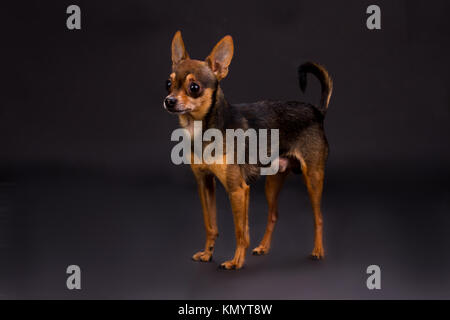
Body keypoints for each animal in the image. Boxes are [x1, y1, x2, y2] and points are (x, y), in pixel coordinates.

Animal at [163, 30, 332, 270]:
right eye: (168, 83)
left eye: (194, 88)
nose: (169, 101)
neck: (203, 129)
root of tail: (317, 111)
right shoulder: (205, 183)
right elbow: (211, 225)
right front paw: (207, 254)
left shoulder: (237, 189)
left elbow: (240, 231)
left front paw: (235, 261)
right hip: (273, 181)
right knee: (273, 214)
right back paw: (263, 247)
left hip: (313, 177)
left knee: (318, 216)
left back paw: (318, 251)